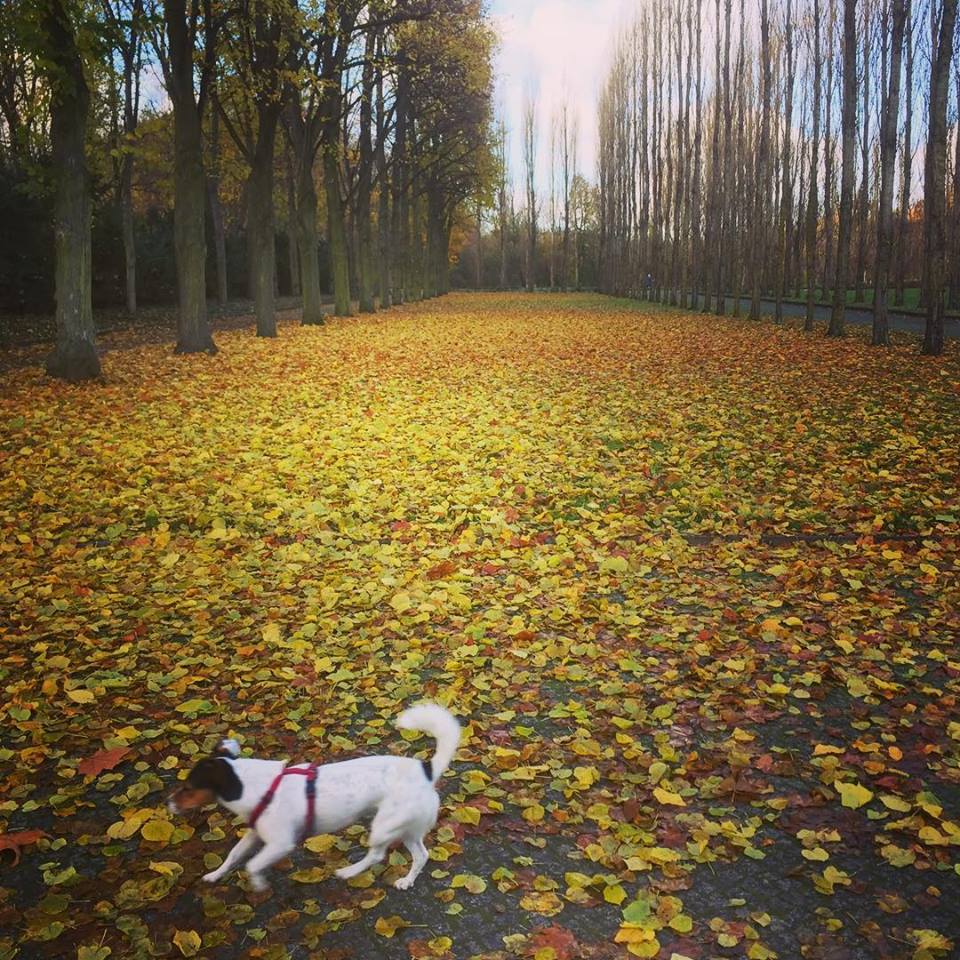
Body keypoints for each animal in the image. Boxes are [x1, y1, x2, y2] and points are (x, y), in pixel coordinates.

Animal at [168, 700, 462, 896]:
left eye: (188, 787)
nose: (167, 803)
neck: (255, 786)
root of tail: (426, 770)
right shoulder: (254, 834)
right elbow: (233, 855)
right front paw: (215, 874)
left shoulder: (280, 844)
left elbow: (252, 864)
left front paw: (259, 884)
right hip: (406, 827)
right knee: (421, 855)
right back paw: (406, 880)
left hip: (384, 824)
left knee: (377, 854)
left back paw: (348, 871)